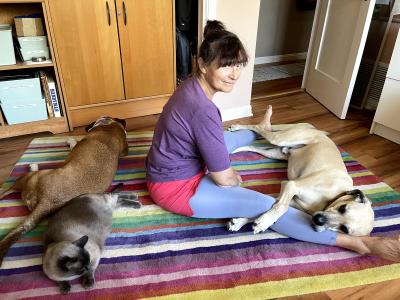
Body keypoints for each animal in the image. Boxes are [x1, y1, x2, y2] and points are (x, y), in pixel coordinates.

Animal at [0, 116, 128, 266]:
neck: (111, 126)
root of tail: (47, 202)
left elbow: (73, 144)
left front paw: (71, 141)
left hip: (29, 178)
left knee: (8, 189)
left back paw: (32, 167)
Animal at [228, 107, 376, 237]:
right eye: (343, 208)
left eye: (344, 229)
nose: (318, 220)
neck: (332, 197)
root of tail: (316, 130)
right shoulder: (291, 185)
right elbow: (281, 207)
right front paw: (263, 222)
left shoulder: (291, 198)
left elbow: (267, 205)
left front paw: (243, 221)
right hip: (280, 138)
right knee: (259, 127)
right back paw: (236, 127)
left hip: (276, 152)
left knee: (254, 146)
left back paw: (236, 149)